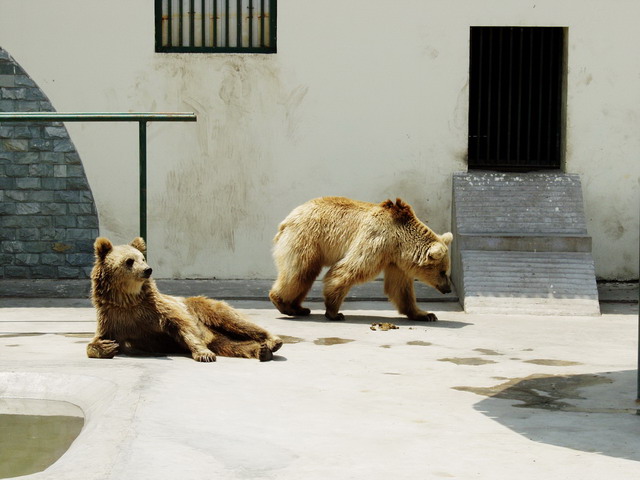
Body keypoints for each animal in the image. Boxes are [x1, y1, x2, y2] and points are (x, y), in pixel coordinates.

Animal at [268, 195, 452, 322]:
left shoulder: (395, 261)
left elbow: (400, 288)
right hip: (307, 240)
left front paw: (425, 314)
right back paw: (282, 303)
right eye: (443, 272)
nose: (448, 289)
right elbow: (348, 270)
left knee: (304, 276)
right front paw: (334, 312)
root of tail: (287, 219)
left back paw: (299, 308)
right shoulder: (376, 241)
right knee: (300, 272)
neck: (399, 241)